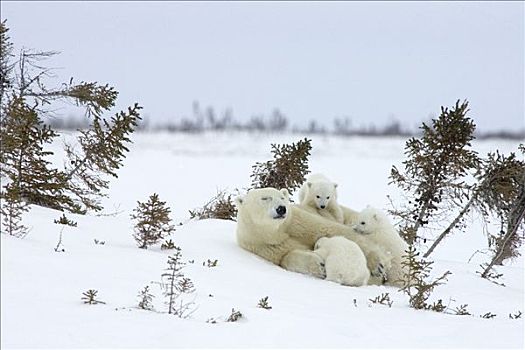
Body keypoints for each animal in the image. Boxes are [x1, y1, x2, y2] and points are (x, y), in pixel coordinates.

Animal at [235, 187, 386, 284]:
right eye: (265, 198)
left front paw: (377, 265)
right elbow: (286, 257)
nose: (281, 208)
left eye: (282, 197)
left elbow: (332, 230)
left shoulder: (299, 222)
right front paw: (319, 267)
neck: (277, 232)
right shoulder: (265, 246)